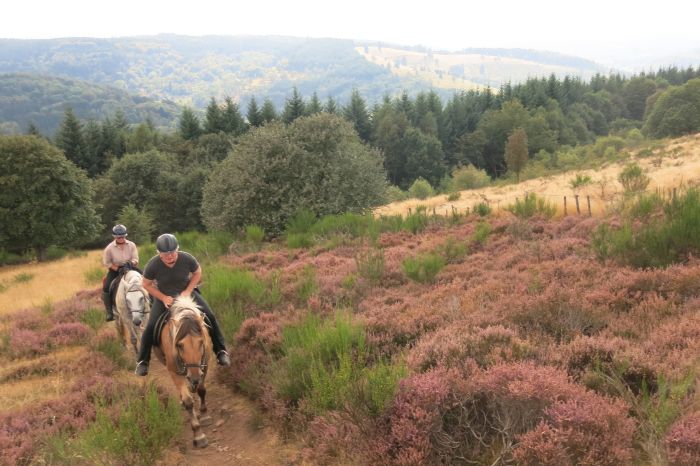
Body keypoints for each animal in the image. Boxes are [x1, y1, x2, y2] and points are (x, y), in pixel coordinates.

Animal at [156, 296, 213, 446]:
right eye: (180, 345)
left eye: (201, 342)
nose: (194, 377)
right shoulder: (174, 372)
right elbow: (188, 401)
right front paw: (198, 435)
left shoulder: (204, 366)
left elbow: (202, 390)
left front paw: (205, 415)